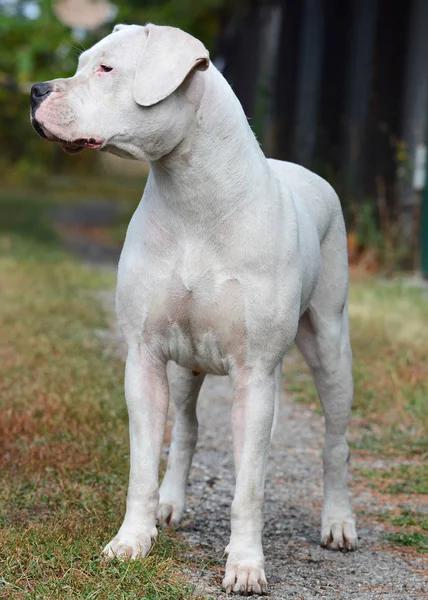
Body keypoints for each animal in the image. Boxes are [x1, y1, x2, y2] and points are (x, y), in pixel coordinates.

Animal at [30, 23, 358, 596]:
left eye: (106, 69)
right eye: (80, 62)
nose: (35, 91)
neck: (194, 197)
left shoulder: (256, 374)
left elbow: (248, 487)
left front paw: (246, 565)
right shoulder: (144, 358)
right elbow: (142, 464)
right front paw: (130, 542)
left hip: (331, 349)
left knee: (333, 443)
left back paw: (337, 523)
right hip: (186, 366)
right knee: (185, 428)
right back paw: (171, 503)